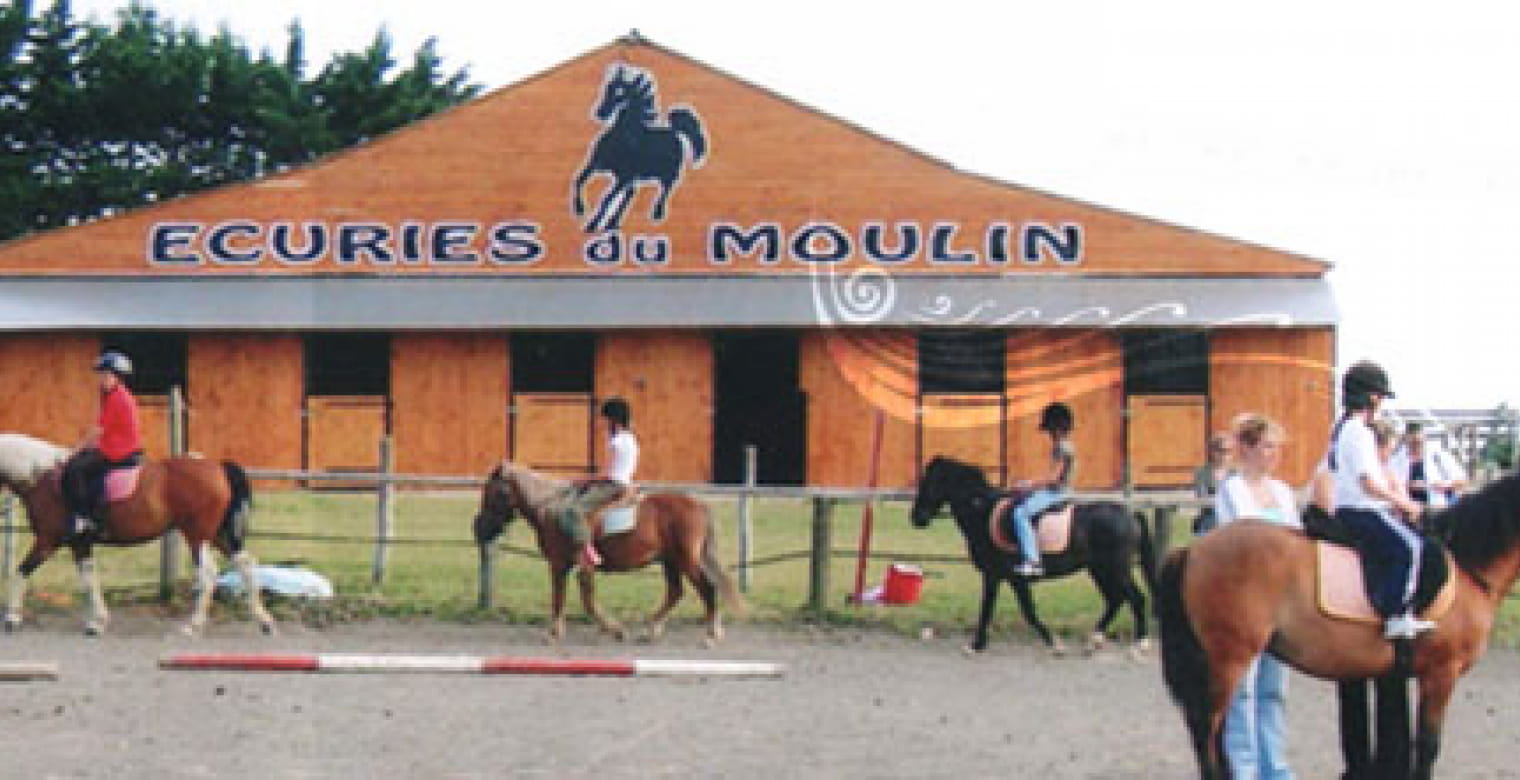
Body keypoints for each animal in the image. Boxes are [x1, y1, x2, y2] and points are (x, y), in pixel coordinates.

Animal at [0, 428, 273, 635]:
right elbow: (89, 581)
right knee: (246, 564)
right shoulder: (80, 544)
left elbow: (21, 572)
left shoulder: (47, 541)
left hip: (196, 535)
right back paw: (264, 620)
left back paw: (192, 625)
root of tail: (217, 466)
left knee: (208, 573)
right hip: (217, 535)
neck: (41, 477)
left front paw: (12, 618)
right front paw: (97, 622)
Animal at [468, 462, 741, 644]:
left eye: (492, 492)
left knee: (706, 588)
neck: (551, 510)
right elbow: (563, 598)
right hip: (670, 561)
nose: (479, 529)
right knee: (676, 592)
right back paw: (653, 629)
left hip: (686, 560)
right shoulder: (564, 565)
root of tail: (698, 504)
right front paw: (558, 631)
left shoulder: (565, 564)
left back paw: (712, 633)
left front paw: (610, 630)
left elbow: (579, 599)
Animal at [571, 64, 708, 232]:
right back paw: (613, 223)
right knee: (631, 195)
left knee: (664, 192)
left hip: (667, 176)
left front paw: (592, 224)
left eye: (619, 93)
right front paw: (580, 209)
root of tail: (675, 132)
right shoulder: (596, 164)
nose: (600, 112)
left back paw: (656, 214)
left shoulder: (623, 177)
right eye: (607, 88)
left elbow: (607, 199)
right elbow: (580, 180)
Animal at [899, 453, 1161, 653]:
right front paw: (979, 644)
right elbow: (997, 609)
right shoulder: (1001, 577)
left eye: (928, 482)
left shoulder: (1003, 576)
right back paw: (1094, 640)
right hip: (1099, 570)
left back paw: (1140, 643)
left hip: (1115, 569)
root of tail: (1129, 513)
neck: (983, 511)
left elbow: (1019, 611)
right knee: (1115, 599)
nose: (916, 518)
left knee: (1135, 598)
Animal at [1155, 468, 1520, 778]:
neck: (1468, 570)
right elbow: (1428, 746)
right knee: (1207, 729)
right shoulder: (1441, 674)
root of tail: (1192, 550)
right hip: (1229, 658)